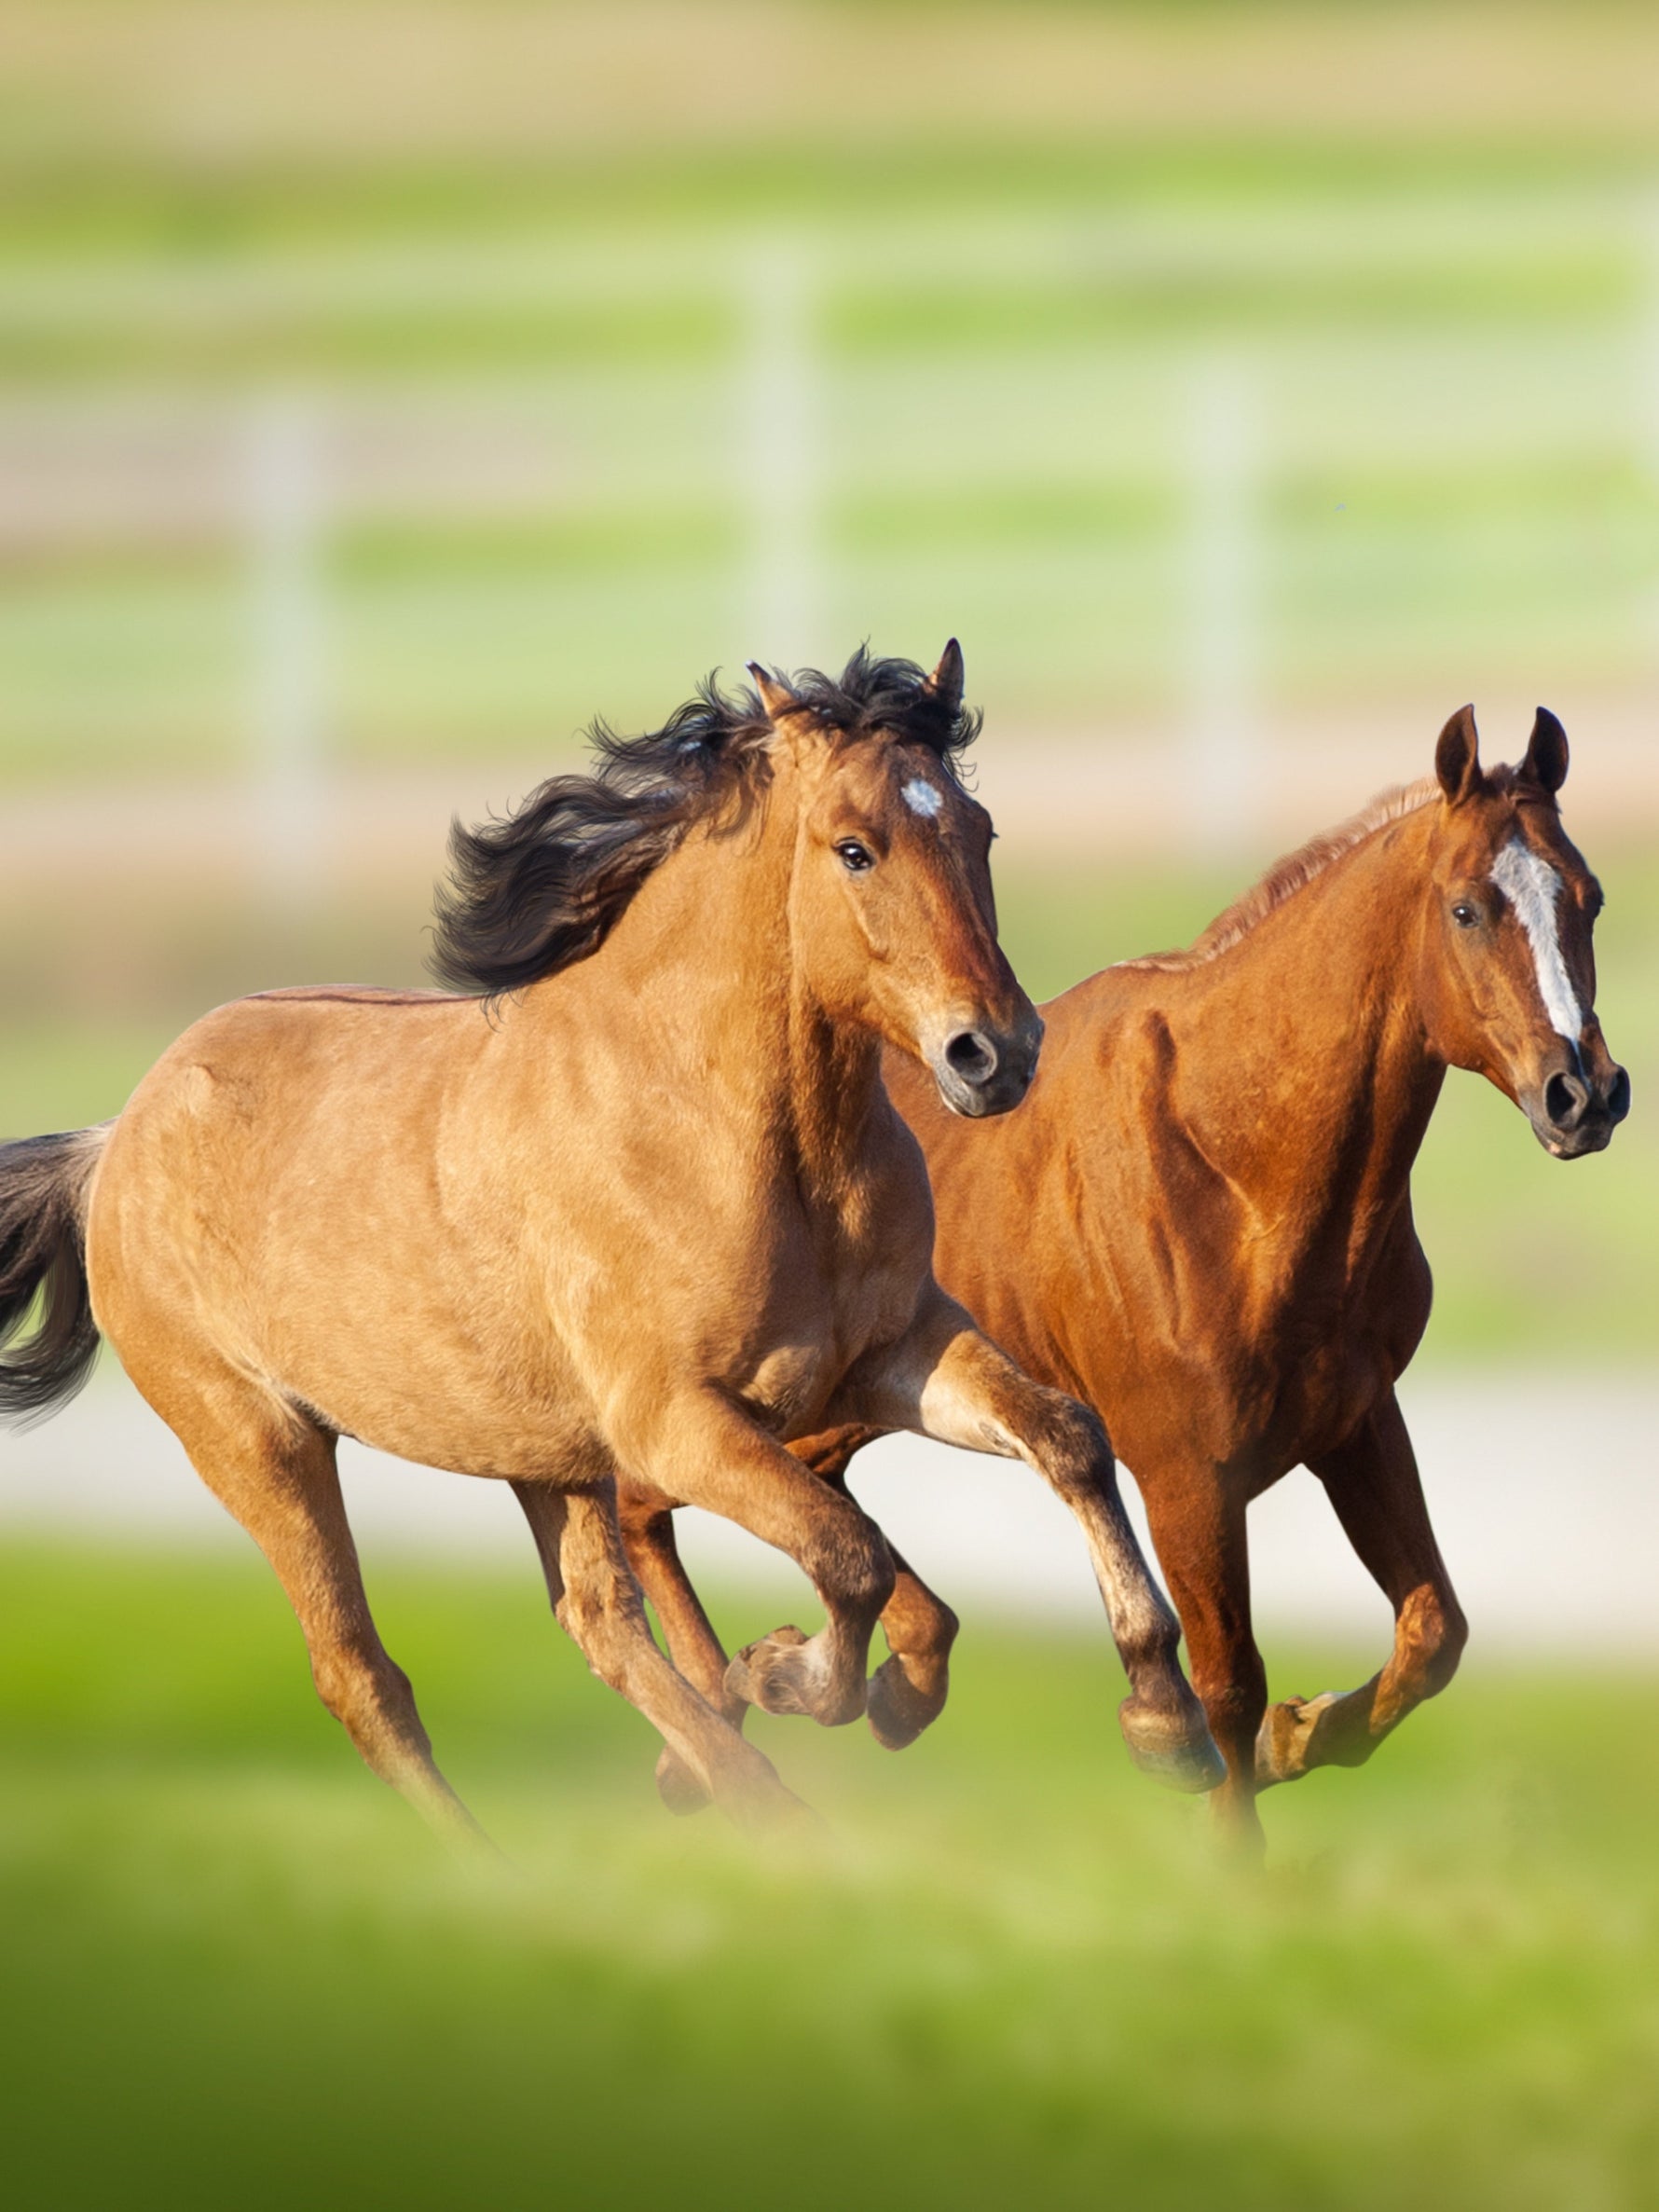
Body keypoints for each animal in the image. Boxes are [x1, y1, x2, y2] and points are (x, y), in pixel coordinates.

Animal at [0, 645, 1220, 1849]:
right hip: (261, 1445)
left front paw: (1161, 1725)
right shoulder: (675, 1425)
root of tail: (114, 1142)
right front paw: (791, 1671)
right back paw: (513, 1864)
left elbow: (1062, 1440)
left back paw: (761, 1809)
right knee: (361, 1673)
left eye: (978, 830)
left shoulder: (892, 1354)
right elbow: (848, 1552)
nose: (995, 1054)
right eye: (854, 848)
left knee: (596, 1622)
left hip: (538, 1454)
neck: (731, 1132)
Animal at [620, 705, 1628, 1853]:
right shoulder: (1186, 1472)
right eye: (1467, 907)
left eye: (1588, 895)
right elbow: (1228, 1682)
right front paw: (1227, 1826)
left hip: (839, 1403)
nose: (1584, 1093)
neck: (1229, 1162)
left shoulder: (1355, 1418)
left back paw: (837, 1691)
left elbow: (1432, 1632)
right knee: (643, 1499)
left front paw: (1301, 1735)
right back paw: (725, 1720)